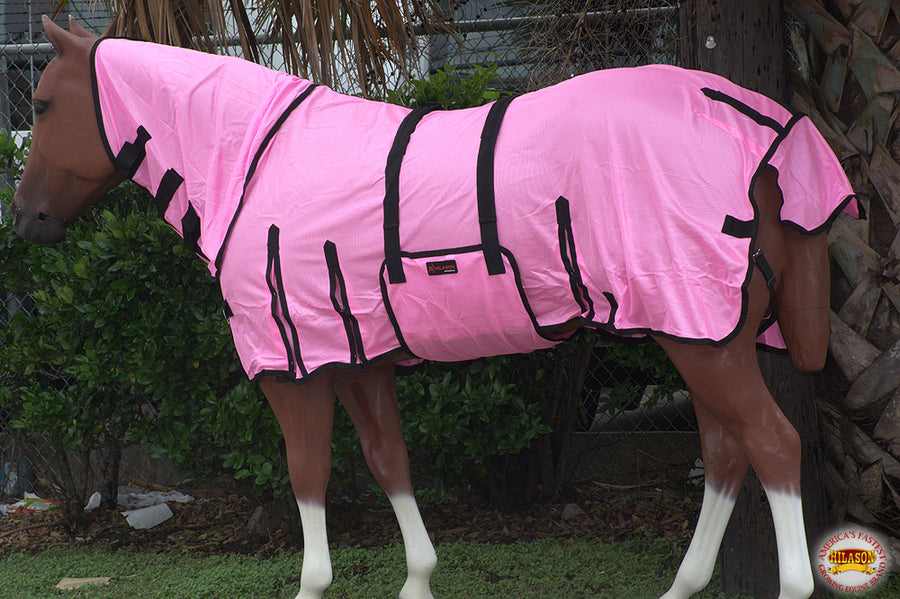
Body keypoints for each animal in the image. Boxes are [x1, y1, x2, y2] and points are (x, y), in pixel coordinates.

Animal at [11, 16, 860, 599]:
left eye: (44, 104)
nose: (25, 220)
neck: (254, 158)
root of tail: (758, 133)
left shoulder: (293, 363)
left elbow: (307, 472)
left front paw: (314, 582)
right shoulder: (359, 356)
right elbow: (390, 459)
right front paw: (418, 576)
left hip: (700, 336)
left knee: (772, 444)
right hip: (702, 331)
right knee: (726, 451)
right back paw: (681, 584)